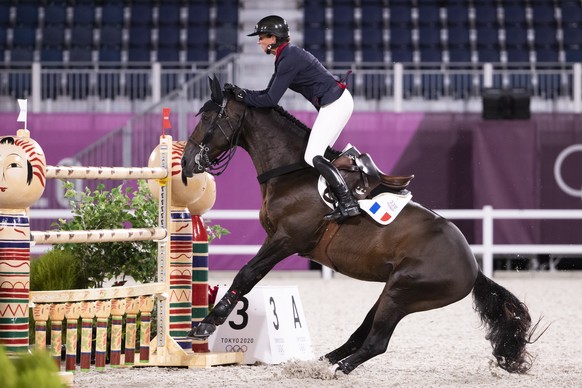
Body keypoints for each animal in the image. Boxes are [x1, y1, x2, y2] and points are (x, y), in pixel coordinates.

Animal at [182, 76, 544, 376]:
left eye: (209, 119)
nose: (186, 162)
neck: (291, 172)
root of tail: (473, 266)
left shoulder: (286, 239)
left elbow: (247, 275)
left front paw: (205, 325)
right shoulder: (276, 237)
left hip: (402, 293)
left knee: (376, 341)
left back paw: (338, 368)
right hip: (392, 290)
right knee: (363, 332)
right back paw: (321, 361)